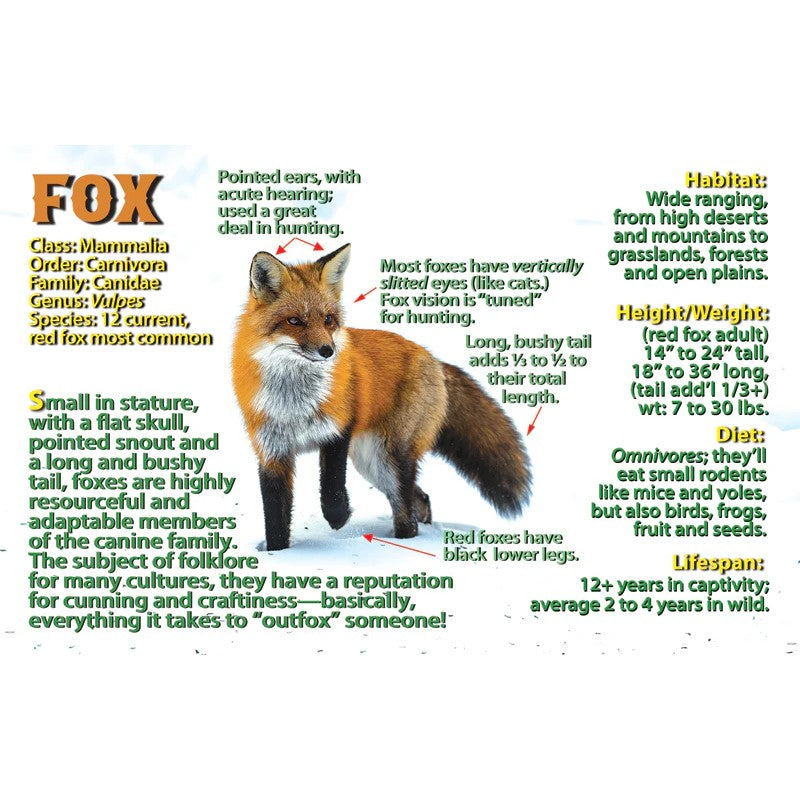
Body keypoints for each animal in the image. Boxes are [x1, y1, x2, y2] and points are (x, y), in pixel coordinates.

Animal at [232, 243, 531, 551]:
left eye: (328, 319)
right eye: (294, 321)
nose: (328, 351)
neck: (295, 403)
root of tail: (433, 359)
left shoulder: (339, 430)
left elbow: (332, 488)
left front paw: (338, 518)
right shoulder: (272, 453)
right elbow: (275, 520)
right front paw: (278, 555)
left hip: (387, 460)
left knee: (407, 510)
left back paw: (403, 542)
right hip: (371, 464)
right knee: (420, 500)